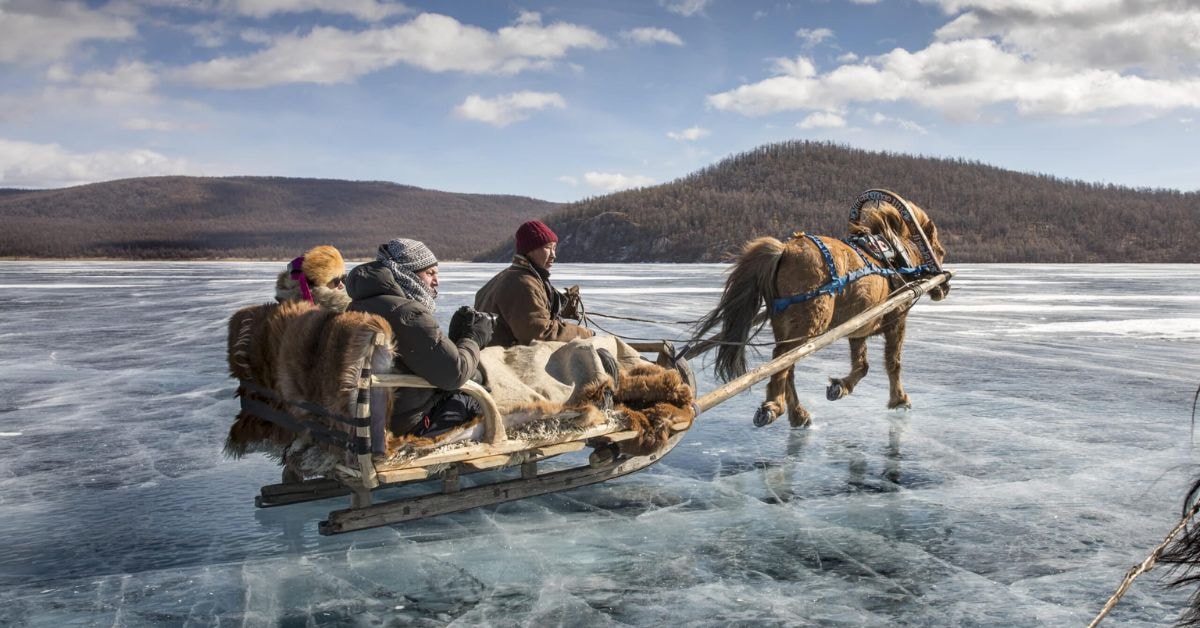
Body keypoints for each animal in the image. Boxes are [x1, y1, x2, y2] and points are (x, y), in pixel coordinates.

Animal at [691, 192, 950, 427]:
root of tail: (783, 250)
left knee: (787, 364)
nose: (944, 287)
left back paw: (798, 414)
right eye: (941, 252)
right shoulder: (897, 317)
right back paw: (773, 406)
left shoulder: (858, 326)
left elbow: (862, 365)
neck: (898, 256)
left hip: (785, 324)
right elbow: (893, 362)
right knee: (782, 359)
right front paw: (899, 400)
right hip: (811, 322)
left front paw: (840, 387)